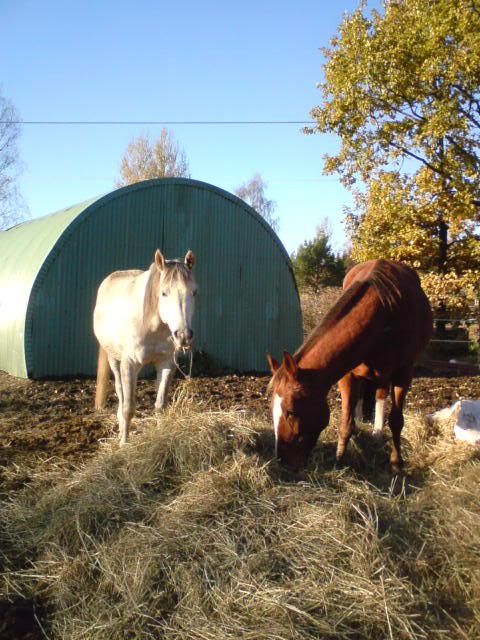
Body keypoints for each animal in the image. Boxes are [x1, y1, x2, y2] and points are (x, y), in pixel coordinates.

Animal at [93, 250, 196, 444]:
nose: (183, 336)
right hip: (114, 359)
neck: (152, 326)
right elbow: (128, 408)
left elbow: (160, 405)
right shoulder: (130, 364)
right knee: (119, 390)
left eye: (194, 292)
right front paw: (124, 443)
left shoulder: (166, 364)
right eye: (164, 293)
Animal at [268, 258, 434, 472]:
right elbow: (346, 422)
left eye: (291, 411)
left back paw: (378, 434)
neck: (385, 313)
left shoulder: (403, 374)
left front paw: (396, 463)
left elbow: (396, 421)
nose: (282, 461)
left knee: (381, 397)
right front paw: (339, 459)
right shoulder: (348, 375)